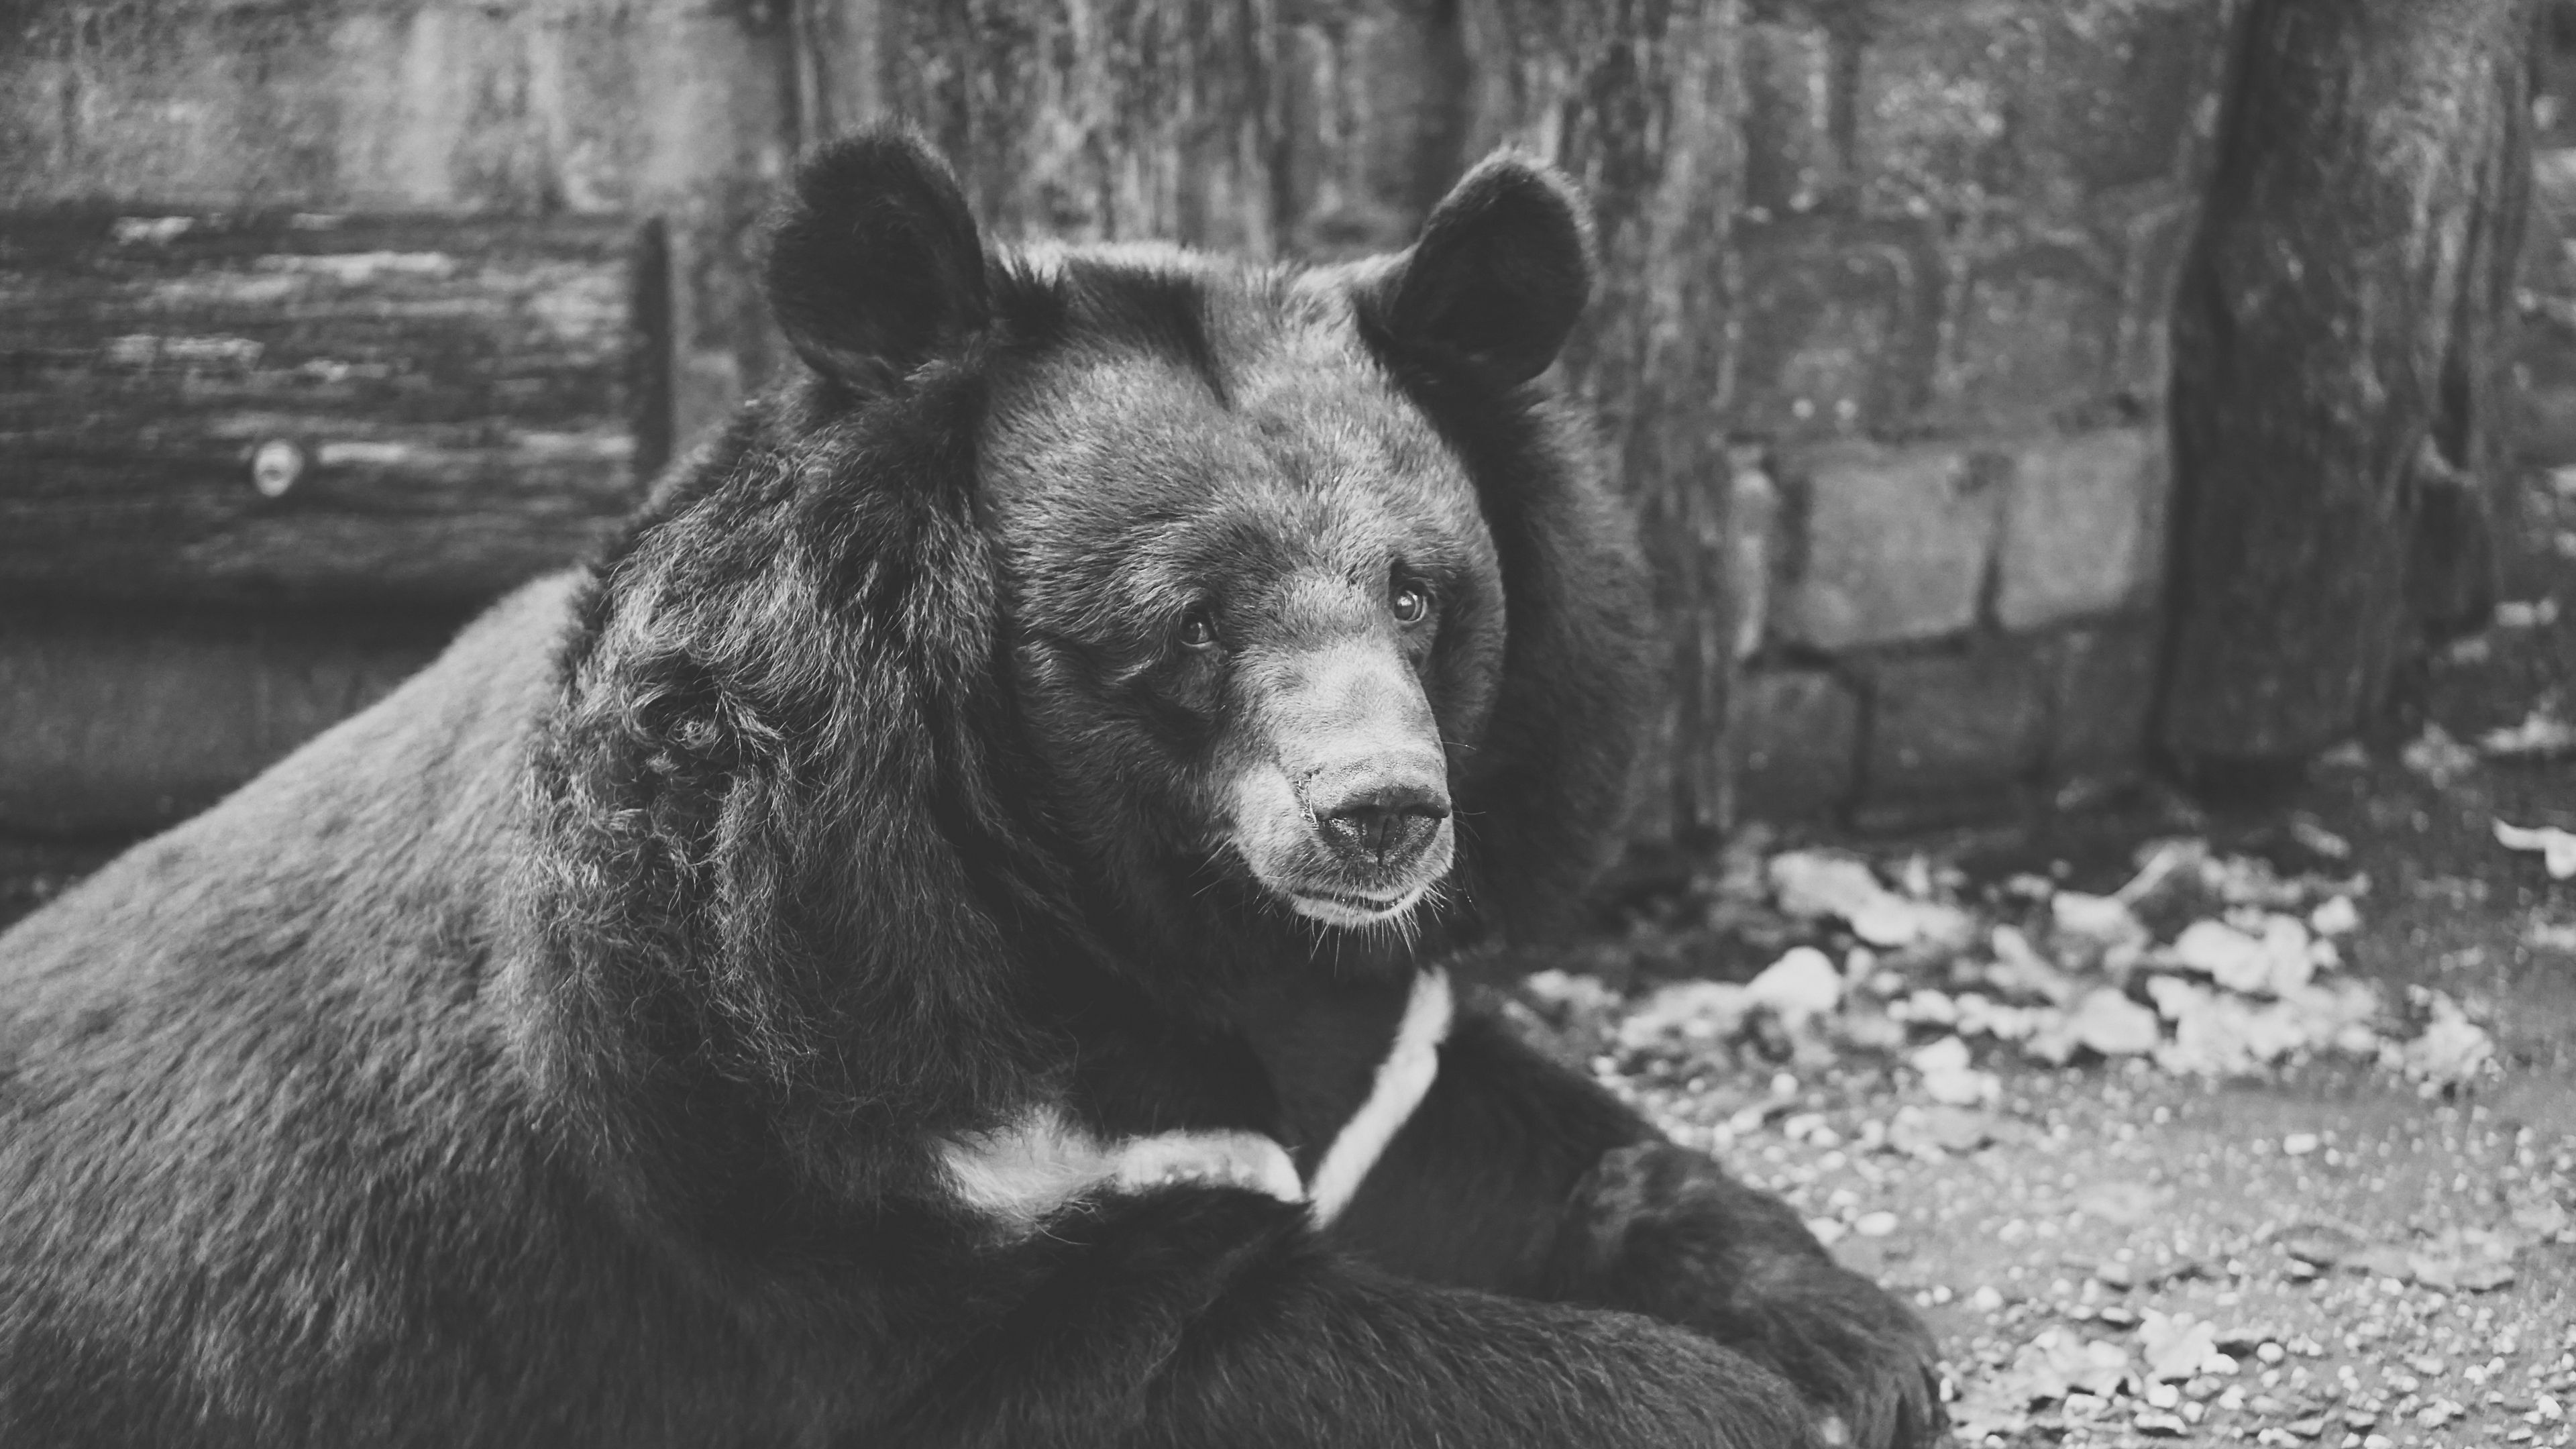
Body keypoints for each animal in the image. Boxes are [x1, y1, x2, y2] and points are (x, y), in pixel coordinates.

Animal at [0, 126, 1942, 1448]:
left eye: (1418, 593)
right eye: (1192, 619)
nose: (1384, 815)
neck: (1129, 898)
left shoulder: (1370, 1034)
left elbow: (1515, 1127)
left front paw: (1852, 1343)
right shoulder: (807, 1133)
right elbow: (1221, 1359)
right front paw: (1738, 1399)